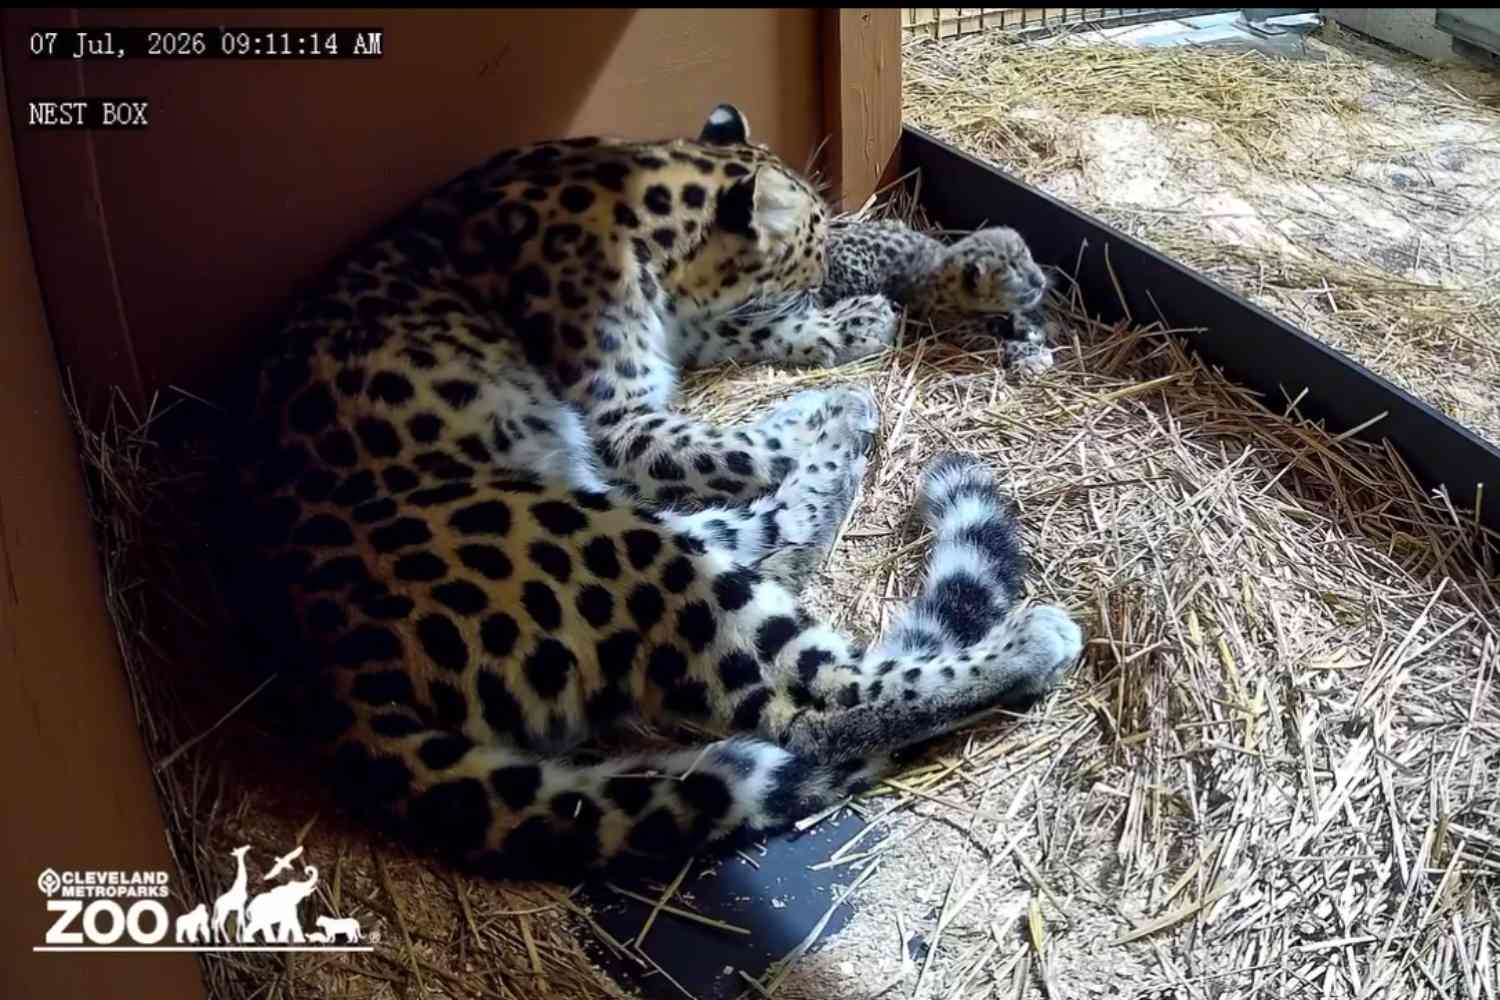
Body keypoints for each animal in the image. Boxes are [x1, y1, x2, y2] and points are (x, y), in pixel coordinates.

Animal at [234, 102, 1085, 883]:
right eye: (808, 253)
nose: (832, 274)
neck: (642, 214)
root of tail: (329, 668)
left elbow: (741, 338)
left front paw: (833, 346)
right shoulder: (618, 422)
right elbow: (728, 440)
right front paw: (841, 356)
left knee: (764, 547)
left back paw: (835, 432)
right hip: (595, 533)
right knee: (813, 702)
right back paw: (1009, 622)